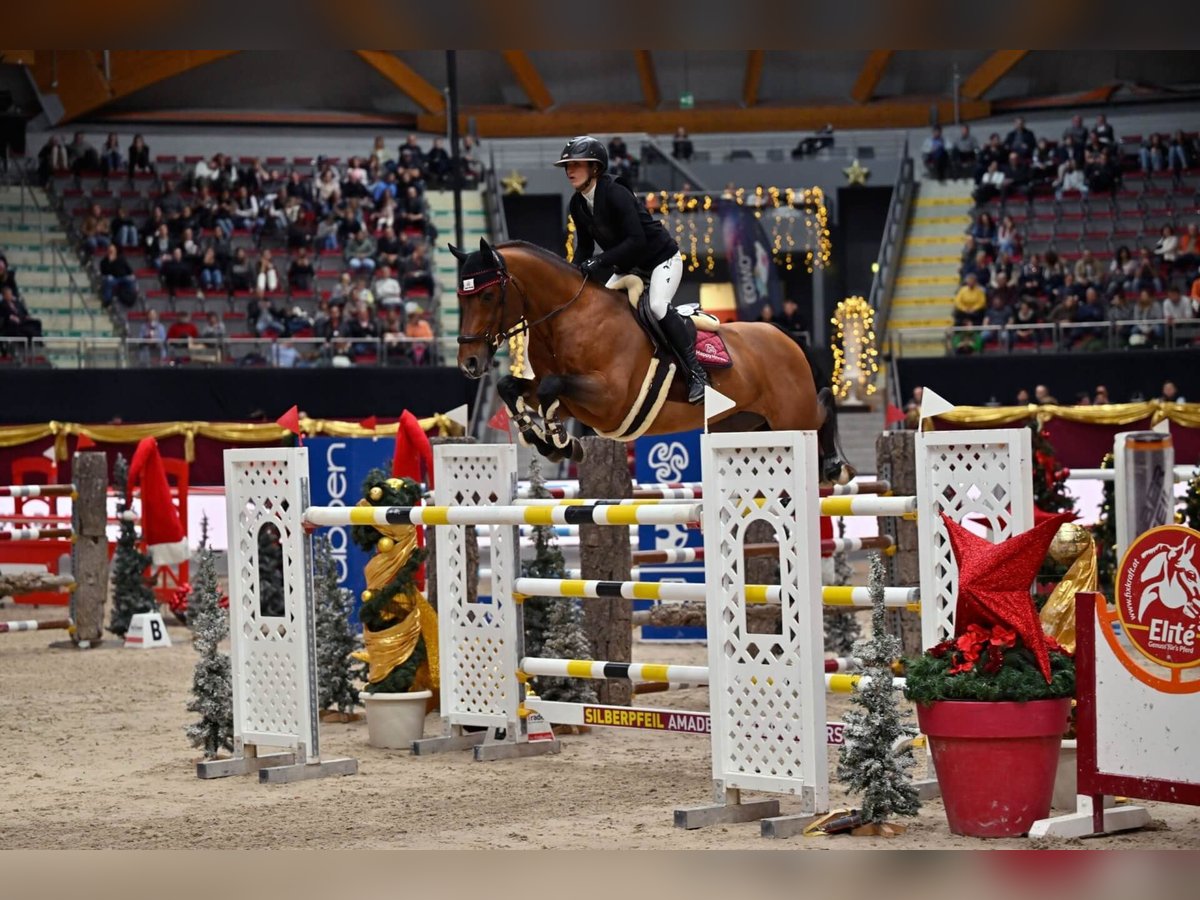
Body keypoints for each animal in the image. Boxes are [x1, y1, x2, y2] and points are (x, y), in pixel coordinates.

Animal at [451, 236, 854, 482]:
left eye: (487, 296)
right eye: (460, 297)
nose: (469, 362)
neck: (565, 318)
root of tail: (784, 336)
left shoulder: (610, 400)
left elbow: (551, 388)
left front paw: (558, 440)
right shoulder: (577, 402)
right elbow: (513, 387)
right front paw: (546, 440)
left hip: (793, 415)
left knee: (822, 406)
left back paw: (837, 466)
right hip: (748, 424)